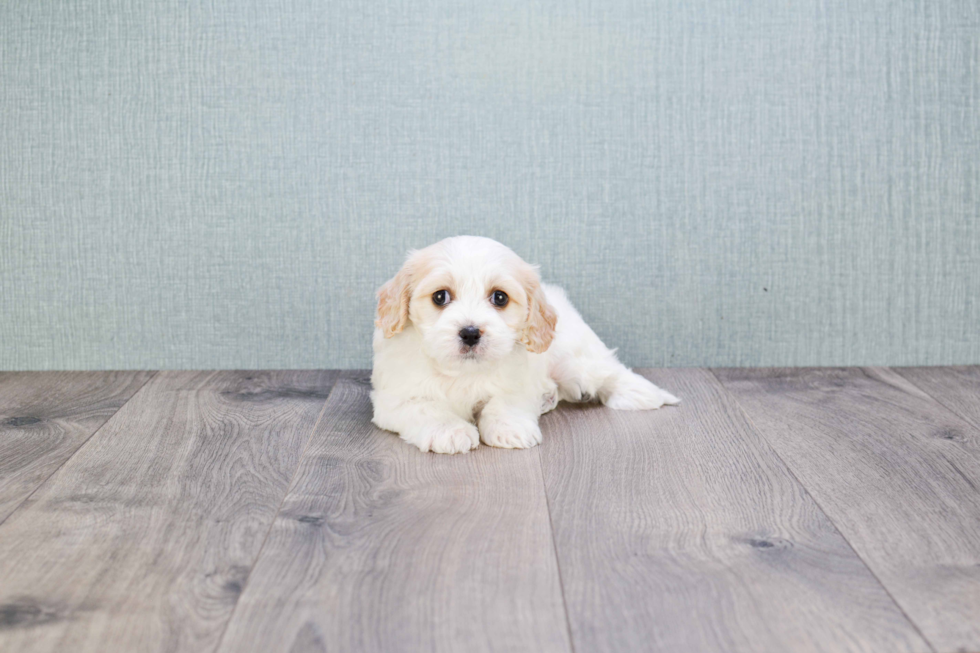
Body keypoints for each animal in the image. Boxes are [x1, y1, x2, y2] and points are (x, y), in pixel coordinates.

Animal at [372, 234, 676, 454]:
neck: (463, 372)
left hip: (573, 359)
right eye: (440, 296)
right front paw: (451, 431)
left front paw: (509, 429)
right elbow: (427, 407)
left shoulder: (517, 383)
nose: (470, 333)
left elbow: (503, 403)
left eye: (500, 298)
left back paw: (643, 394)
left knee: (608, 370)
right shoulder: (395, 398)